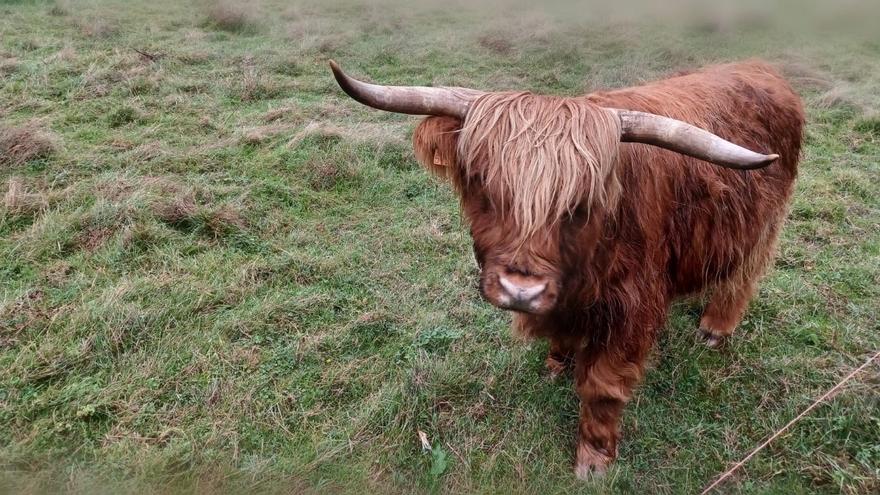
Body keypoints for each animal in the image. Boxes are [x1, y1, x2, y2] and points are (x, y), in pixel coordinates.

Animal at [330, 59, 804, 480]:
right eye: (482, 181)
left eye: (581, 202)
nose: (520, 289)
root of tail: (763, 69)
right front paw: (557, 362)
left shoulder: (631, 307)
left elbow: (602, 388)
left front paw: (593, 460)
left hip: (764, 223)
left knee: (743, 277)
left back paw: (715, 327)